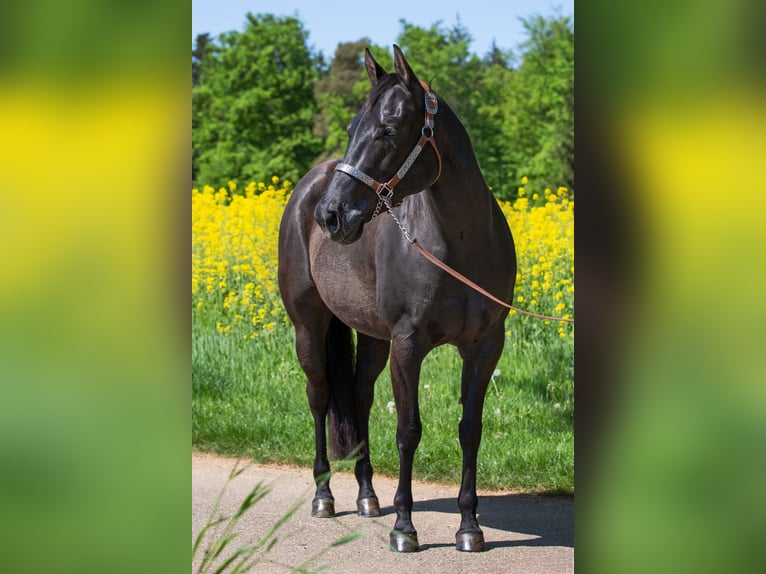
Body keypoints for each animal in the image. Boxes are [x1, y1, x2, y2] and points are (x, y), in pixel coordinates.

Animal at [277, 45, 516, 553]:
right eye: (352, 128)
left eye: (388, 130)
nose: (331, 216)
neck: (460, 244)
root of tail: (310, 186)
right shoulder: (408, 345)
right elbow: (408, 431)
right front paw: (405, 528)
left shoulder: (486, 345)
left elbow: (471, 429)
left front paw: (470, 526)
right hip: (309, 328)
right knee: (319, 397)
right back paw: (324, 496)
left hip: (372, 338)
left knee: (359, 398)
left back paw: (368, 496)